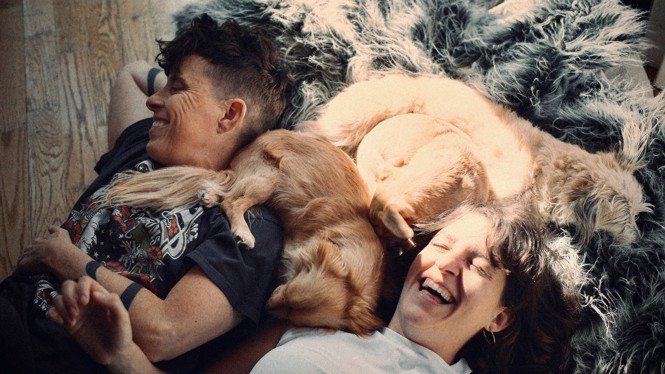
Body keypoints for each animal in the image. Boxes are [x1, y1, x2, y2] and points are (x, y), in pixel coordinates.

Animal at [103, 130, 384, 334]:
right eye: (287, 296)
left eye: (294, 317)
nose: (267, 308)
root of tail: (238, 159)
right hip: (269, 178)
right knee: (232, 202)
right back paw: (243, 233)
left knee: (226, 193)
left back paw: (209, 195)